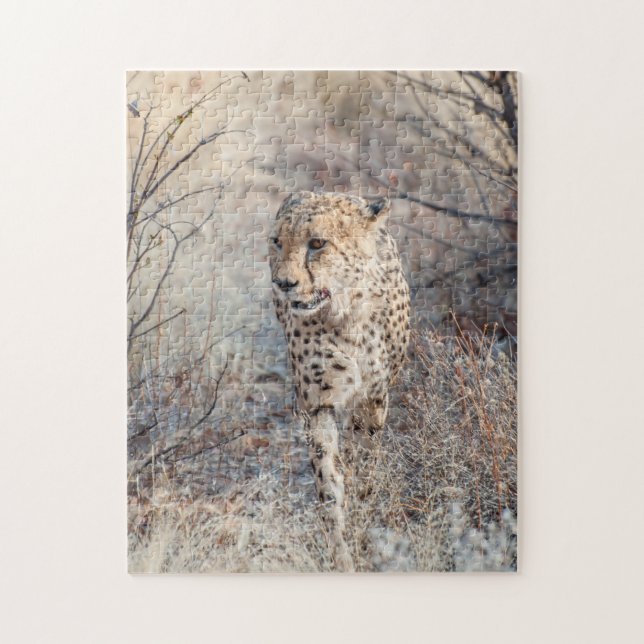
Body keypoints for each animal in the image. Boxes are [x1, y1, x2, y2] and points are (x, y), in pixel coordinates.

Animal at [269, 191, 410, 571]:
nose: (284, 283)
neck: (347, 316)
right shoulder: (318, 403)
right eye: (277, 242)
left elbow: (364, 466)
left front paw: (363, 518)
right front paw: (341, 553)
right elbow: (328, 481)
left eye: (317, 243)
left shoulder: (372, 398)